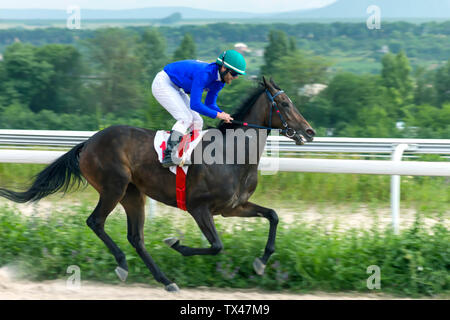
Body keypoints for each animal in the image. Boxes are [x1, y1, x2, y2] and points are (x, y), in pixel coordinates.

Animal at [0, 76, 314, 292]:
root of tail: (88, 143)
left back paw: (165, 280)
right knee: (95, 222)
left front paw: (261, 262)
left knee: (135, 237)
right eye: (284, 104)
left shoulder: (233, 207)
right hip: (114, 187)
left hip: (133, 194)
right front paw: (177, 244)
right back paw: (123, 265)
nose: (309, 132)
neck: (232, 155)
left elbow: (273, 215)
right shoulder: (199, 207)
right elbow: (216, 246)